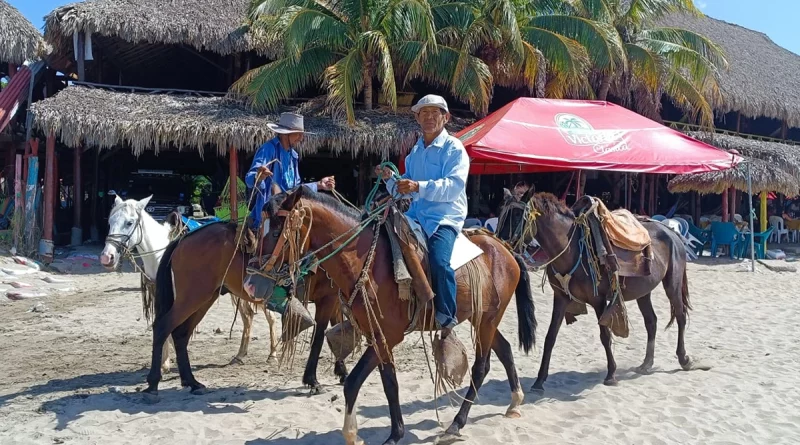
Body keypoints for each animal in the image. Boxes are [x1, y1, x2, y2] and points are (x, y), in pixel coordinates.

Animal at [100, 194, 278, 372]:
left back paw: (272, 355)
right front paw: (165, 363)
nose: (107, 257)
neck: (160, 251)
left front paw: (166, 363)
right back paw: (241, 355)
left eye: (129, 222)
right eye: (110, 221)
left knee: (270, 318)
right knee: (249, 317)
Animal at [145, 220, 350, 398]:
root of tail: (183, 240)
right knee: (163, 327)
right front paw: (313, 380)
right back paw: (153, 383)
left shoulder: (334, 300)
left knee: (180, 334)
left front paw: (342, 372)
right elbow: (320, 337)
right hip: (193, 297)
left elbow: (339, 330)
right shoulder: (328, 299)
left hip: (204, 298)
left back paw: (191, 382)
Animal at [241, 186, 536, 444]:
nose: (251, 284)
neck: (368, 263)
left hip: (487, 321)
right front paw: (394, 433)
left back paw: (456, 424)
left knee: (481, 367)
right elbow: (388, 383)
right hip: (483, 318)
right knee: (505, 349)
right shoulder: (377, 335)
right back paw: (514, 402)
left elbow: (354, 382)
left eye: (277, 230)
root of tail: (506, 248)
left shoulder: (388, 335)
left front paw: (356, 434)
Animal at [496, 189, 708, 390]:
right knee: (651, 321)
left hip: (672, 284)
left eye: (517, 216)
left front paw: (611, 375)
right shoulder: (561, 298)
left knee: (680, 316)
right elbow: (550, 337)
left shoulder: (598, 300)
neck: (571, 249)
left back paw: (684, 359)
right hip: (643, 292)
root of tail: (672, 233)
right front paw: (539, 381)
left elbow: (605, 336)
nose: (501, 245)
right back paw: (646, 364)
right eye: (501, 214)